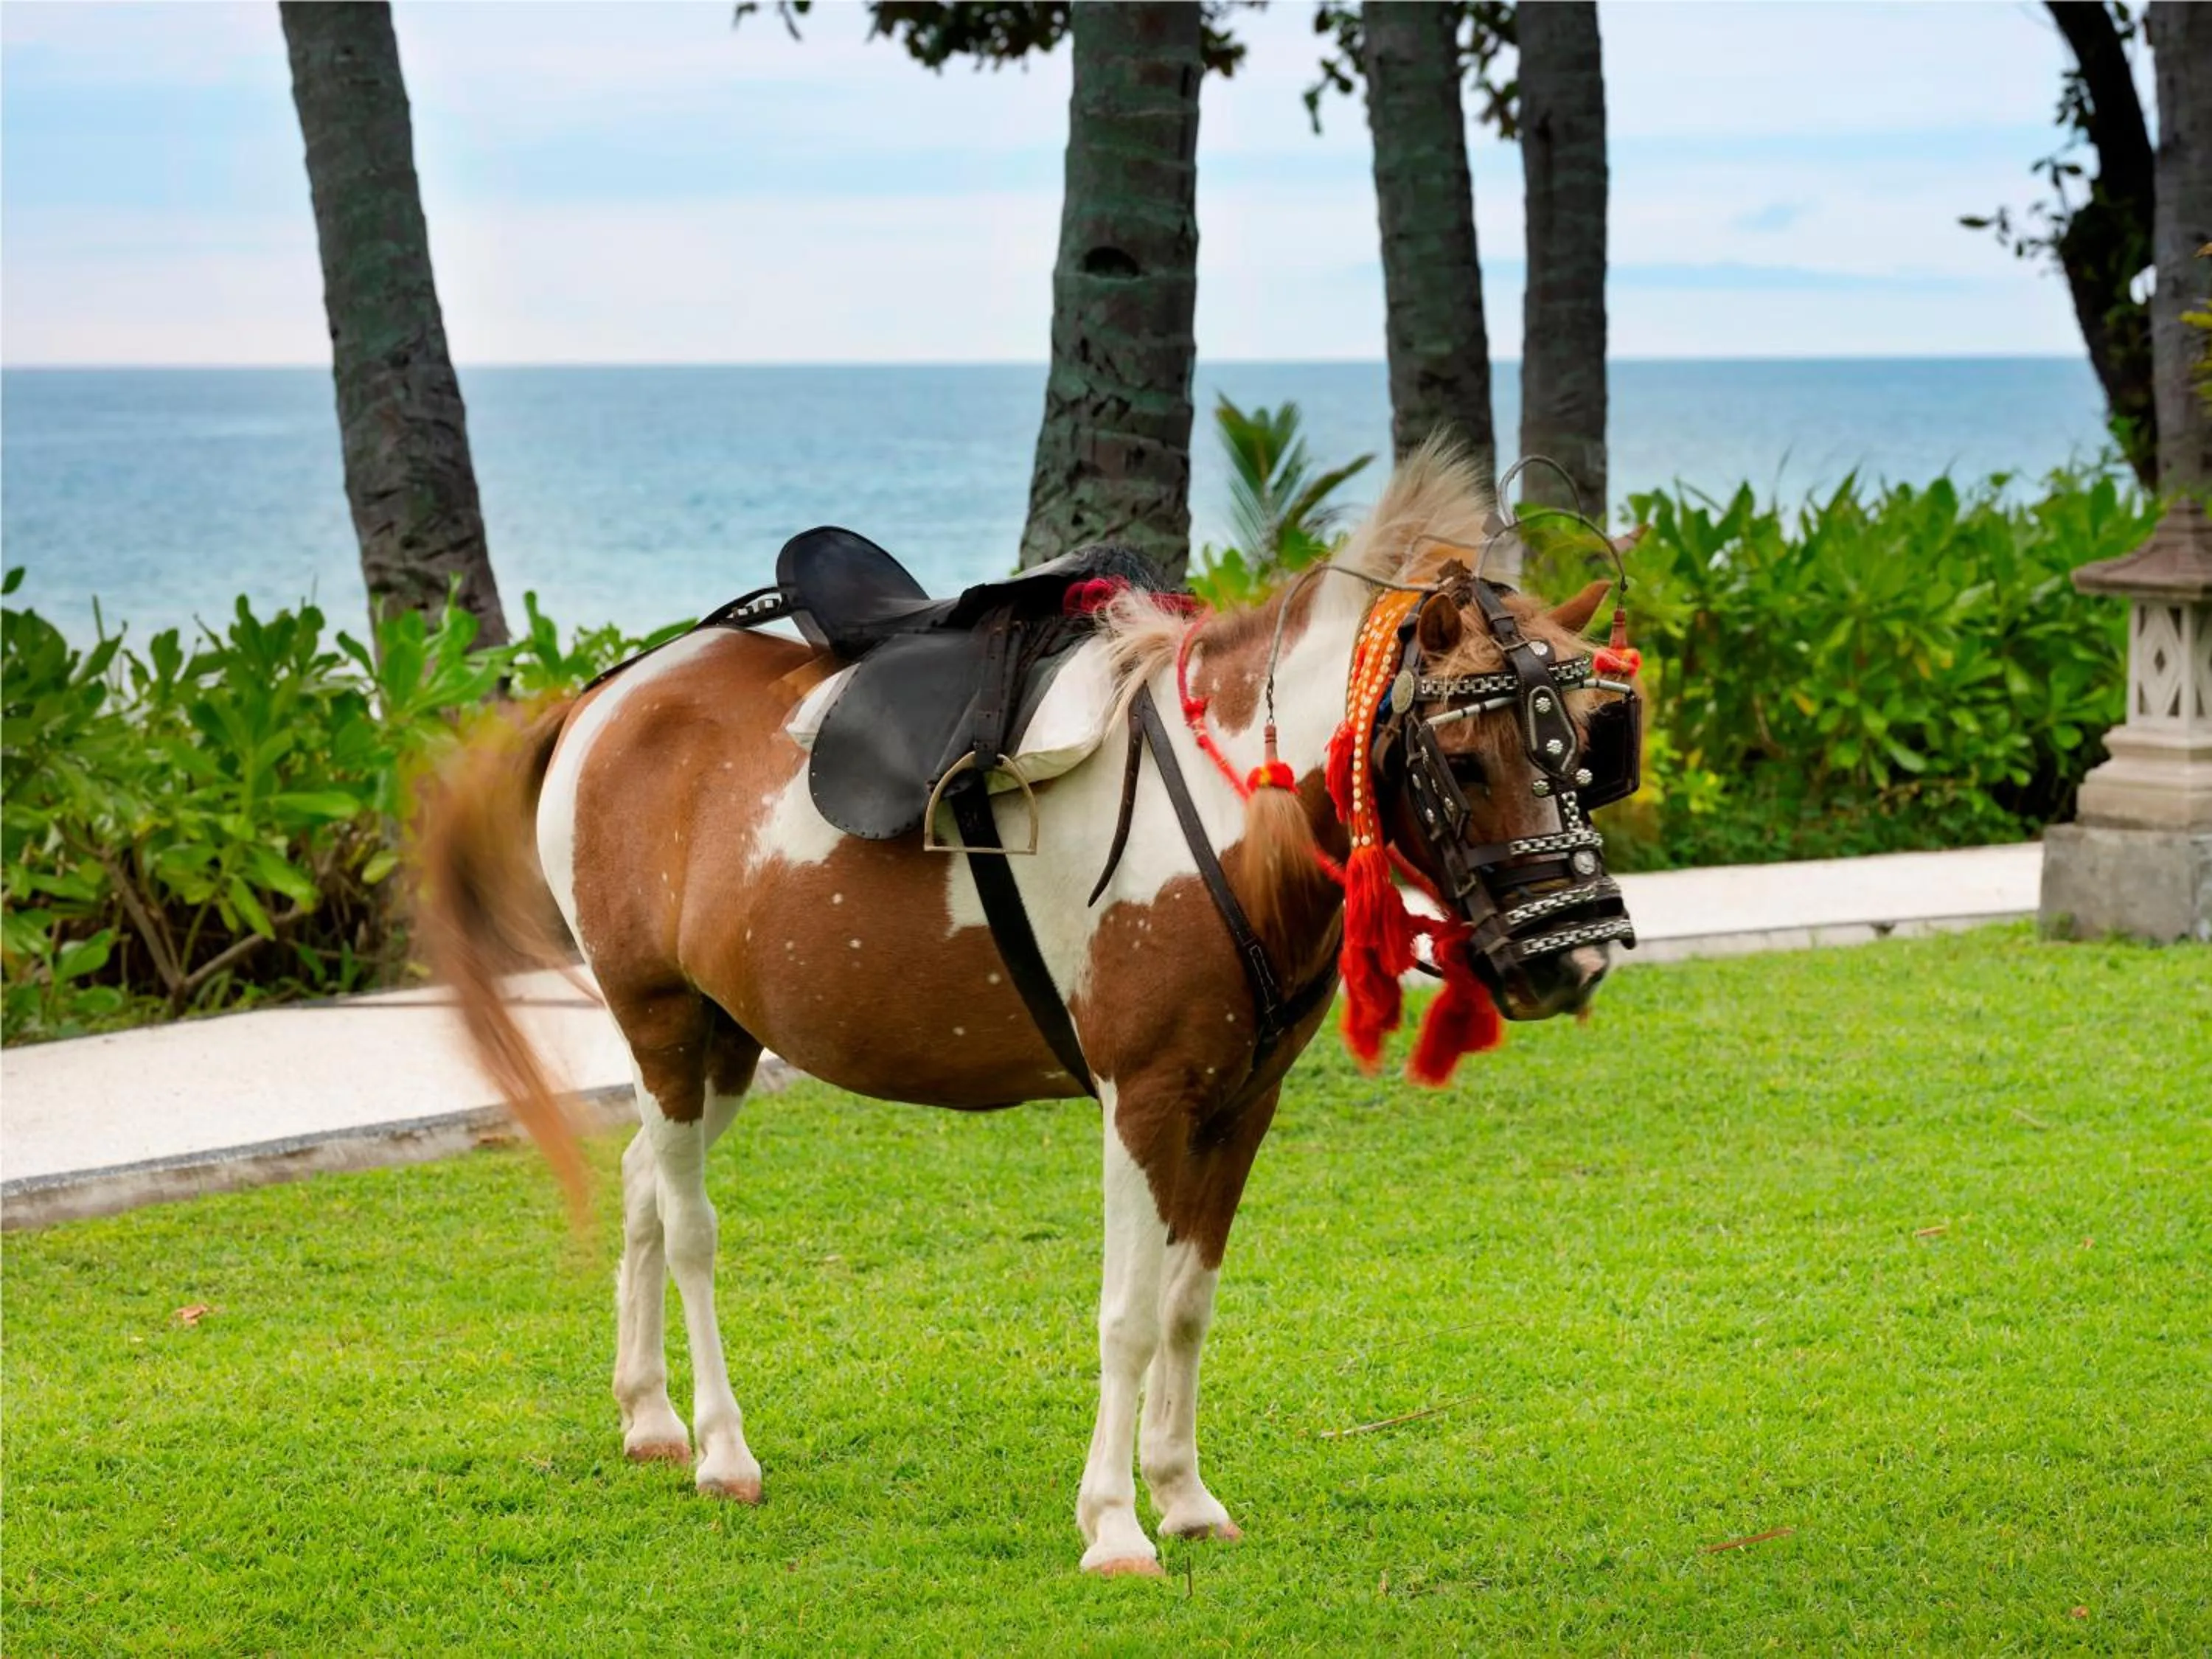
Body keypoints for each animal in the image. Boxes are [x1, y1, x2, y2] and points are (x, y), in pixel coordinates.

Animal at [415, 443, 1640, 1578]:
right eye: (1463, 759)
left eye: (1591, 747)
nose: (1572, 960)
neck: (1229, 820)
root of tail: (604, 694)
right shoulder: (1143, 1100)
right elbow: (1130, 1312)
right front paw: (1115, 1523)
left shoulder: (1242, 1103)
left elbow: (1189, 1303)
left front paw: (1183, 1494)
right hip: (661, 1014)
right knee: (689, 1223)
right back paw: (720, 1444)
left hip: (724, 1036)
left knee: (639, 1182)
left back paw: (651, 1416)